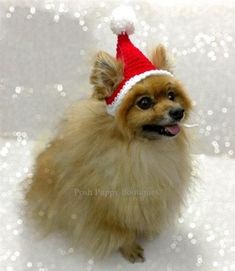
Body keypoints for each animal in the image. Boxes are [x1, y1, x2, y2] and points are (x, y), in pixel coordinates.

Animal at [24, 7, 193, 264]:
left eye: (171, 96)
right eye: (144, 103)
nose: (178, 112)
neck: (141, 149)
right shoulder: (107, 208)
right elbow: (121, 232)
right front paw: (130, 248)